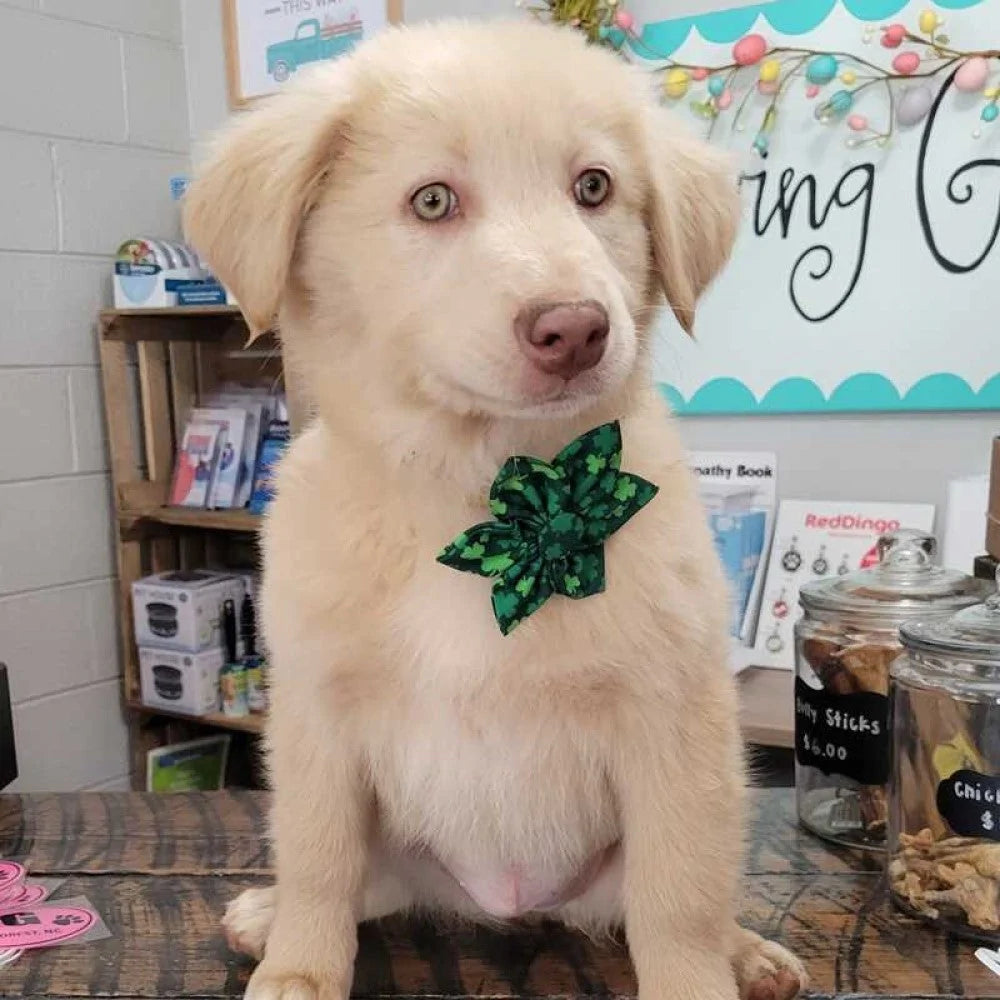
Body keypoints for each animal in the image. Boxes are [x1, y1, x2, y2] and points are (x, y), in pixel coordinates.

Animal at [186, 19, 804, 1000]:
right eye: (433, 200)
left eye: (594, 187)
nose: (576, 329)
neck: (478, 493)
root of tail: (511, 903)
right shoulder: (316, 716)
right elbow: (319, 858)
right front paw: (299, 970)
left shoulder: (672, 719)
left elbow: (678, 899)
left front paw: (702, 974)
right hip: (398, 839)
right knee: (360, 878)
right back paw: (265, 916)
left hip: (705, 801)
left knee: (691, 890)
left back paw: (747, 954)